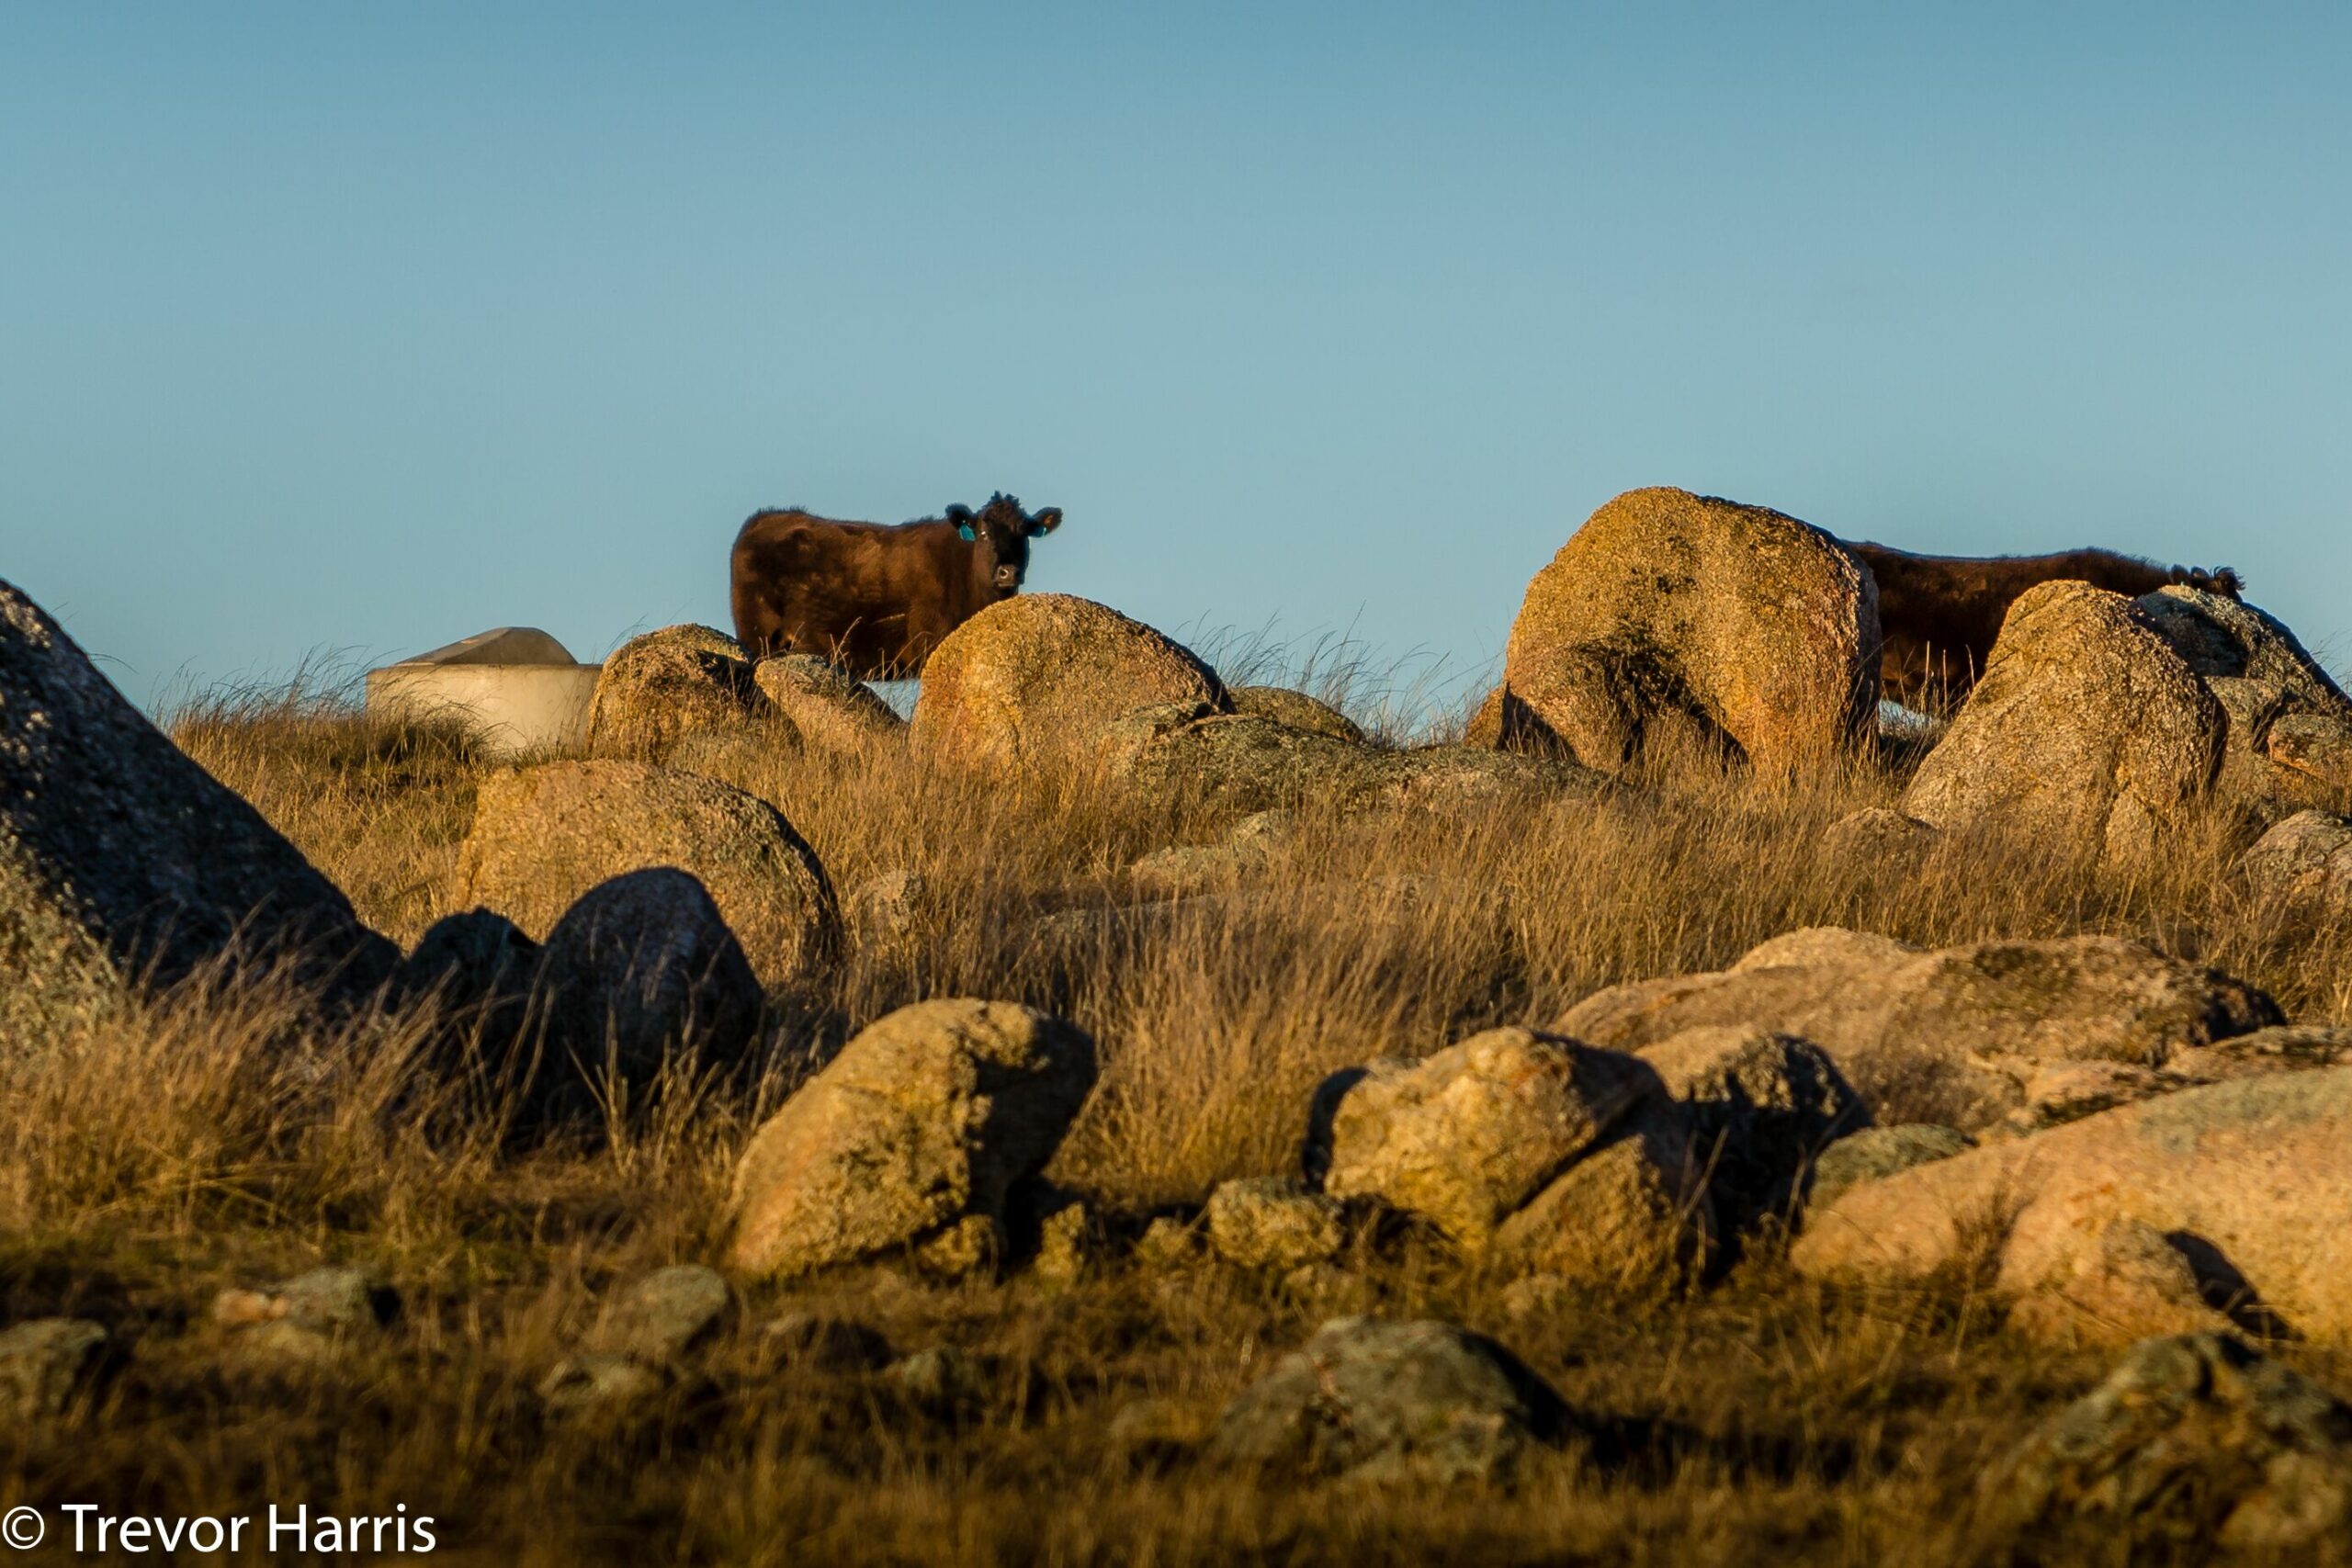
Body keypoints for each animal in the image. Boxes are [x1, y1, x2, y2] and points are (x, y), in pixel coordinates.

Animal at [724, 493, 1068, 677]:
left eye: (1024, 534)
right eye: (983, 533)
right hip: (758, 637)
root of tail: (761, 520)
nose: (1008, 572)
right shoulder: (930, 644)